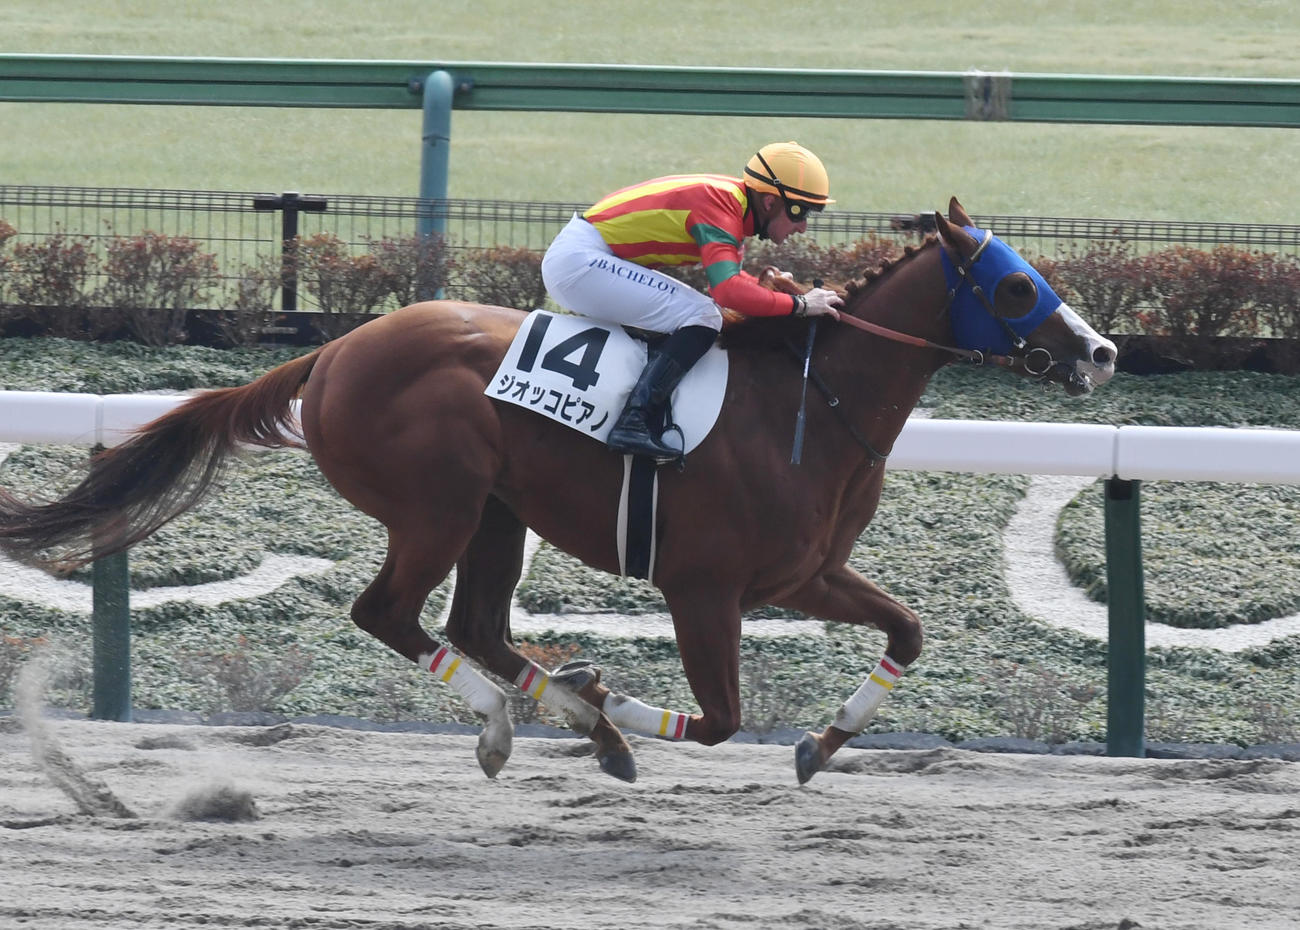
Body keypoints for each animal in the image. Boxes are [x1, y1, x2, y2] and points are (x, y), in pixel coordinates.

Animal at [0, 199, 1117, 785]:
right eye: (1016, 286)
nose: (1100, 355)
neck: (813, 401)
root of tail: (332, 353)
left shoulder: (803, 575)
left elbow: (908, 632)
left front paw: (817, 742)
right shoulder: (703, 588)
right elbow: (718, 719)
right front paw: (601, 695)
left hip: (498, 512)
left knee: (476, 626)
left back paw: (553, 716)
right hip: (437, 506)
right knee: (391, 614)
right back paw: (539, 721)